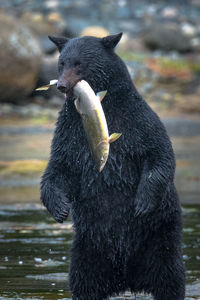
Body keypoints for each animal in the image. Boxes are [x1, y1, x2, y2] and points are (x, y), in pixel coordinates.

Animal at [40, 33, 186, 300]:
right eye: (62, 63)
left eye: (79, 63)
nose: (62, 86)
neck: (103, 107)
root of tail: (128, 280)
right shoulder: (69, 132)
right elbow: (59, 168)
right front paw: (60, 208)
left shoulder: (137, 121)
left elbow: (159, 154)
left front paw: (142, 203)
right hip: (88, 250)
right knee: (82, 282)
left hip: (160, 236)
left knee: (170, 277)